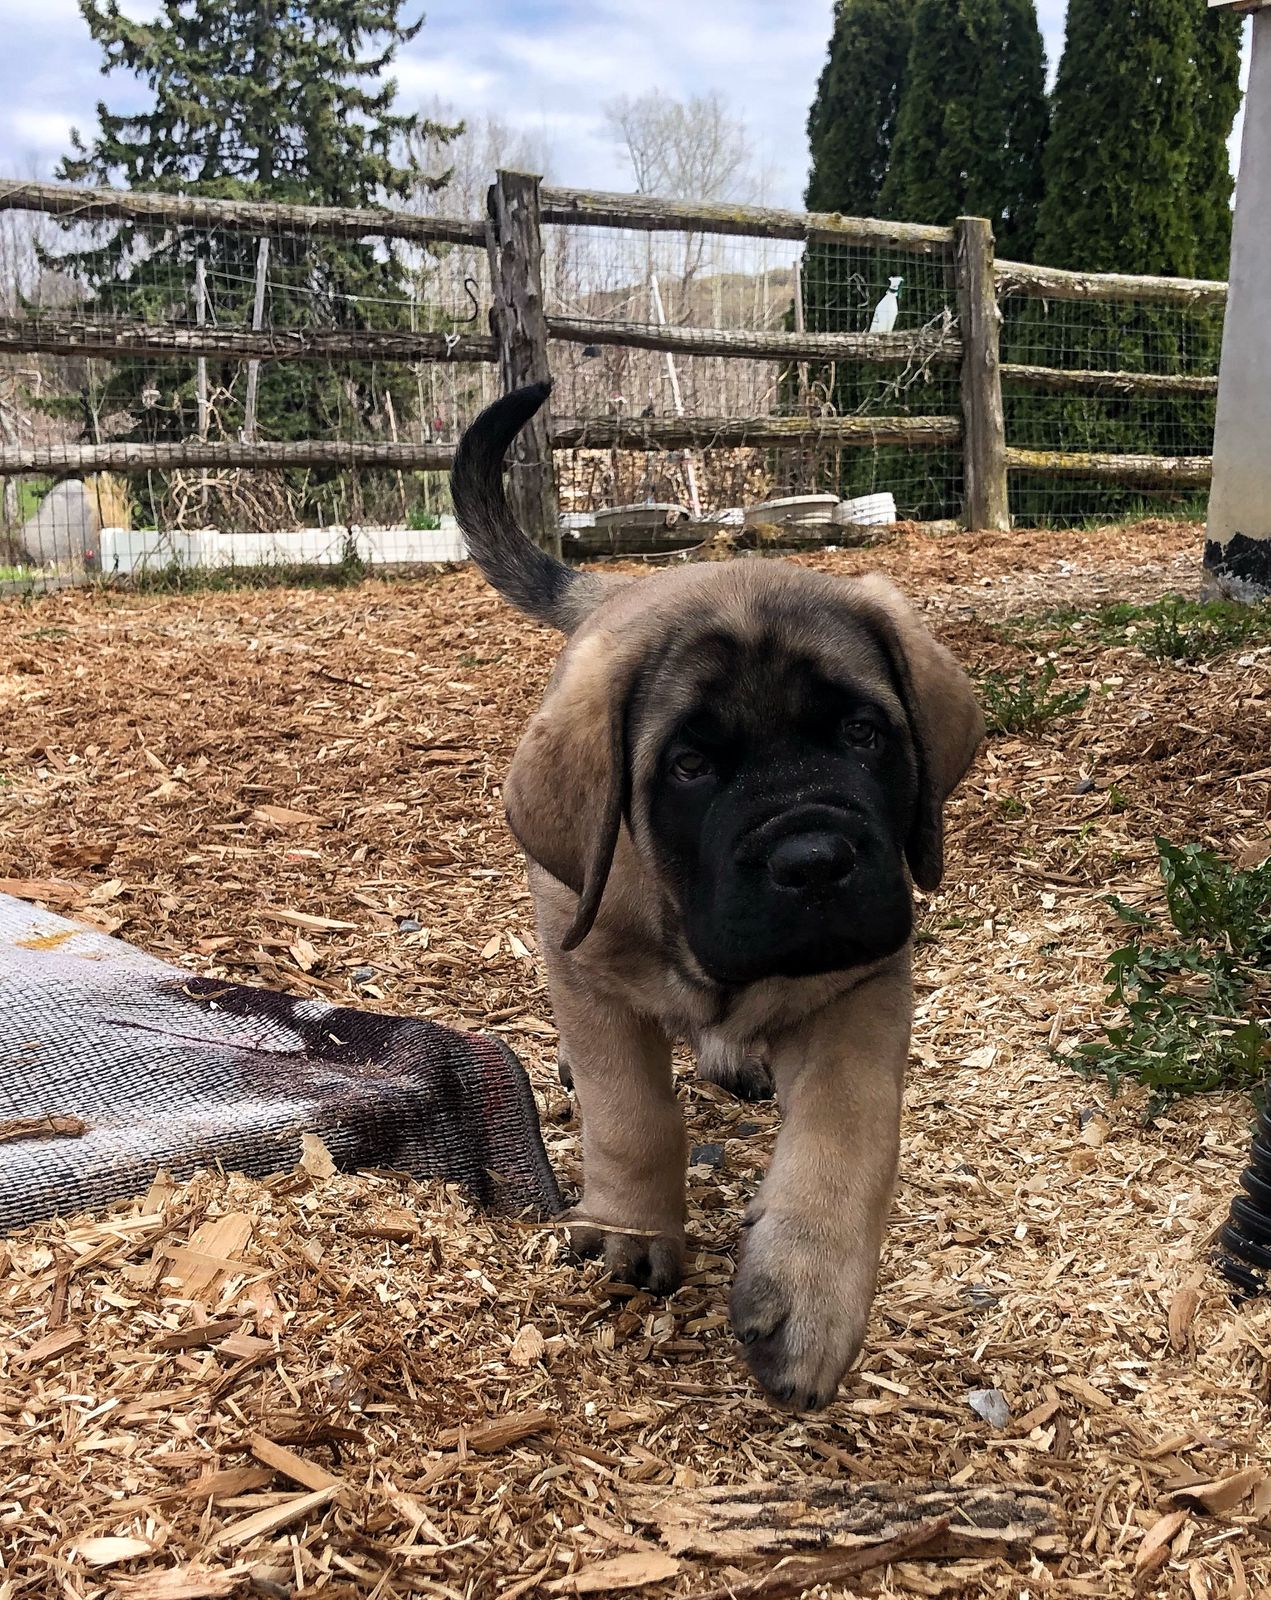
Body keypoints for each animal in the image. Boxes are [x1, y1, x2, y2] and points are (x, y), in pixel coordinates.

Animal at [450, 383, 984, 1409]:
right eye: (690, 766)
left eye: (863, 734)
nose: (813, 860)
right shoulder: (590, 975)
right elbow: (631, 1114)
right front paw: (631, 1228)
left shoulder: (861, 987)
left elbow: (847, 1134)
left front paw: (809, 1296)